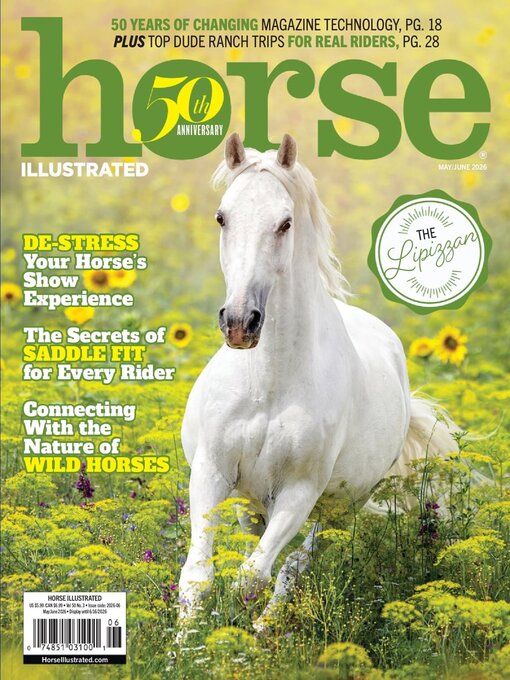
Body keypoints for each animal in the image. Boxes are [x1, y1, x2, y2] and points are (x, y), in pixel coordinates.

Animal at [178, 133, 456, 629]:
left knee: (292, 565)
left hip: (339, 508)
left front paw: (239, 641)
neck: (269, 384)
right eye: (222, 216)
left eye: (285, 223)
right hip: (251, 503)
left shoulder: (299, 492)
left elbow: (252, 578)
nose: (239, 323)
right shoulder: (211, 471)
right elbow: (199, 578)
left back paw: (265, 628)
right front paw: (187, 646)